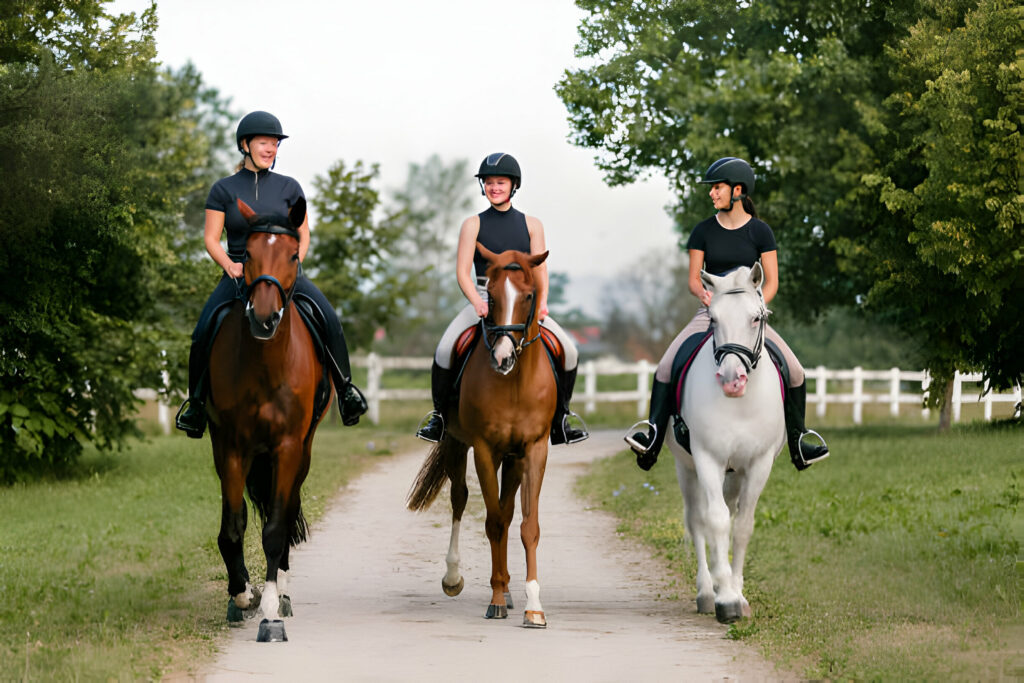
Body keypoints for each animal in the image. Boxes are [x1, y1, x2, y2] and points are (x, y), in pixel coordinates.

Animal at [200, 196, 327, 643]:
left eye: (293, 254)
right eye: (247, 255)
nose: (264, 319)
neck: (265, 363)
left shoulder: (288, 447)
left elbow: (274, 528)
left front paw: (271, 611)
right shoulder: (230, 447)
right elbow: (231, 528)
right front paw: (241, 595)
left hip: (302, 452)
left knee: (285, 513)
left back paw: (283, 594)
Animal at [403, 245, 557, 630]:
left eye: (529, 295)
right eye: (491, 296)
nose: (503, 357)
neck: (514, 382)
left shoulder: (534, 450)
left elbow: (527, 525)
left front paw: (534, 606)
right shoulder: (484, 450)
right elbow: (494, 523)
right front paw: (497, 600)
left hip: (513, 458)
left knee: (507, 506)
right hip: (458, 445)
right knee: (460, 499)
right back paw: (454, 578)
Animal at [667, 264, 786, 626]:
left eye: (755, 318)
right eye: (713, 319)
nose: (733, 381)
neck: (739, 404)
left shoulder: (759, 463)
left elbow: (743, 526)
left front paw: (738, 594)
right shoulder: (707, 459)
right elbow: (715, 520)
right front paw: (726, 599)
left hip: (735, 474)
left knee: (730, 514)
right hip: (687, 468)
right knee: (697, 519)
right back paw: (708, 592)